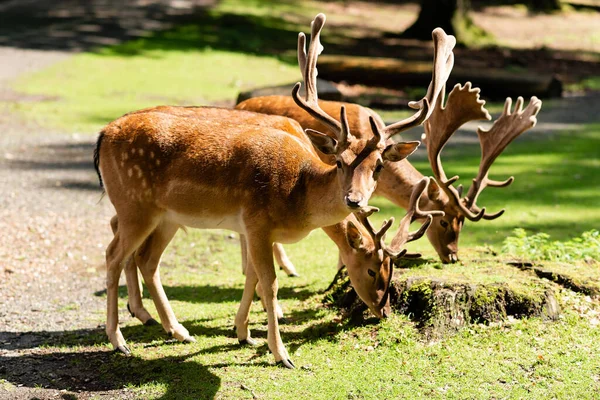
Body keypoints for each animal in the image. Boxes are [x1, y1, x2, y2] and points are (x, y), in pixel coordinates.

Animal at [95, 14, 450, 368]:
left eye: (378, 166)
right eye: (339, 161)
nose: (383, 310)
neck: (299, 197)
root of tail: (102, 134)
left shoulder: (253, 231)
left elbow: (251, 278)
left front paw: (243, 333)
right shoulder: (257, 223)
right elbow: (269, 283)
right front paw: (281, 354)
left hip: (166, 216)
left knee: (147, 260)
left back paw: (178, 330)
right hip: (134, 205)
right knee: (113, 255)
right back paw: (119, 340)